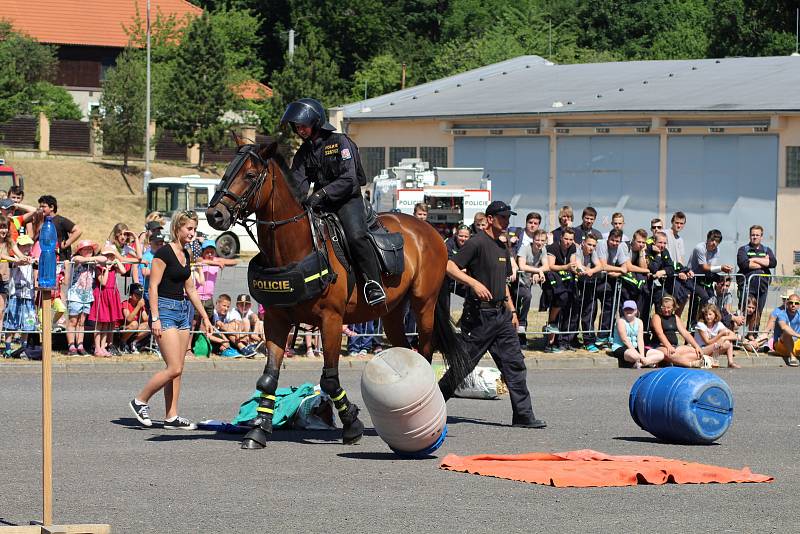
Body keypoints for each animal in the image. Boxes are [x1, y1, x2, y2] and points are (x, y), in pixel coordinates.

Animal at [206, 136, 468, 450]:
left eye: (249, 174)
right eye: (227, 170)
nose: (214, 214)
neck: (297, 248)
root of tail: (430, 231)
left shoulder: (331, 321)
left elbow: (329, 380)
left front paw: (352, 424)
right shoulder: (276, 320)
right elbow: (268, 377)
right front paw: (258, 429)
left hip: (423, 306)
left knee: (425, 352)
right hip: (392, 314)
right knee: (405, 348)